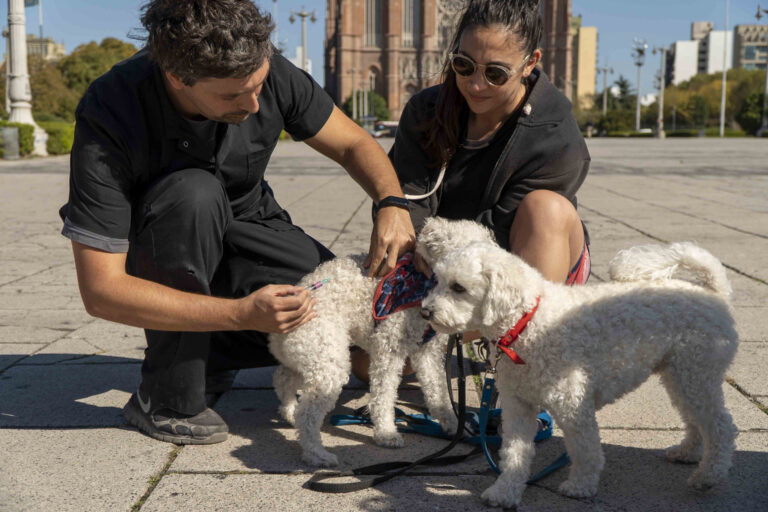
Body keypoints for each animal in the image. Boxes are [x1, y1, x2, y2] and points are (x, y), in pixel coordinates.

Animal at [268, 216, 496, 468]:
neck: (420, 286)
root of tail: (277, 331)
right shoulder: (388, 350)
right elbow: (383, 396)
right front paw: (386, 433)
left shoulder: (427, 352)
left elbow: (437, 392)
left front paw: (454, 426)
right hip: (327, 360)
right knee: (307, 414)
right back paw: (317, 454)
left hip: (311, 354)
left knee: (283, 378)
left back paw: (289, 412)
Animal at [420, 240, 736, 508]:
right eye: (437, 281)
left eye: (458, 287)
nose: (425, 311)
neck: (527, 322)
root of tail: (714, 292)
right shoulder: (518, 405)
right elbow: (514, 453)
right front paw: (505, 491)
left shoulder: (573, 405)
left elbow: (586, 450)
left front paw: (580, 486)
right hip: (679, 374)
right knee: (695, 421)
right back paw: (687, 453)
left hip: (696, 373)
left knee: (721, 426)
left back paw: (708, 476)